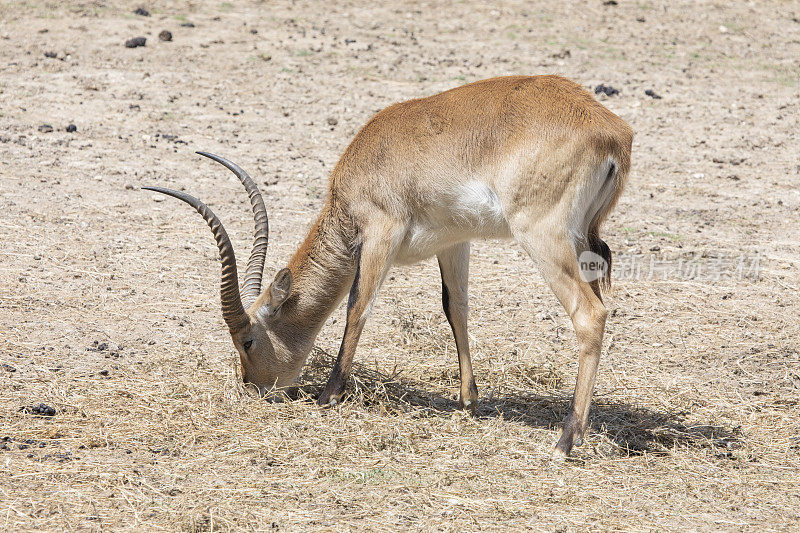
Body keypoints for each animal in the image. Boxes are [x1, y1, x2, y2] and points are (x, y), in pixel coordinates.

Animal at [144, 76, 632, 458]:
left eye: (247, 340)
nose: (254, 389)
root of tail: (612, 132)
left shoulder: (380, 233)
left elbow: (358, 307)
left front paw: (328, 395)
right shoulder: (454, 242)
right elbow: (455, 308)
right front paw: (467, 402)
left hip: (541, 237)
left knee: (590, 314)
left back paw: (566, 441)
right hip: (579, 244)